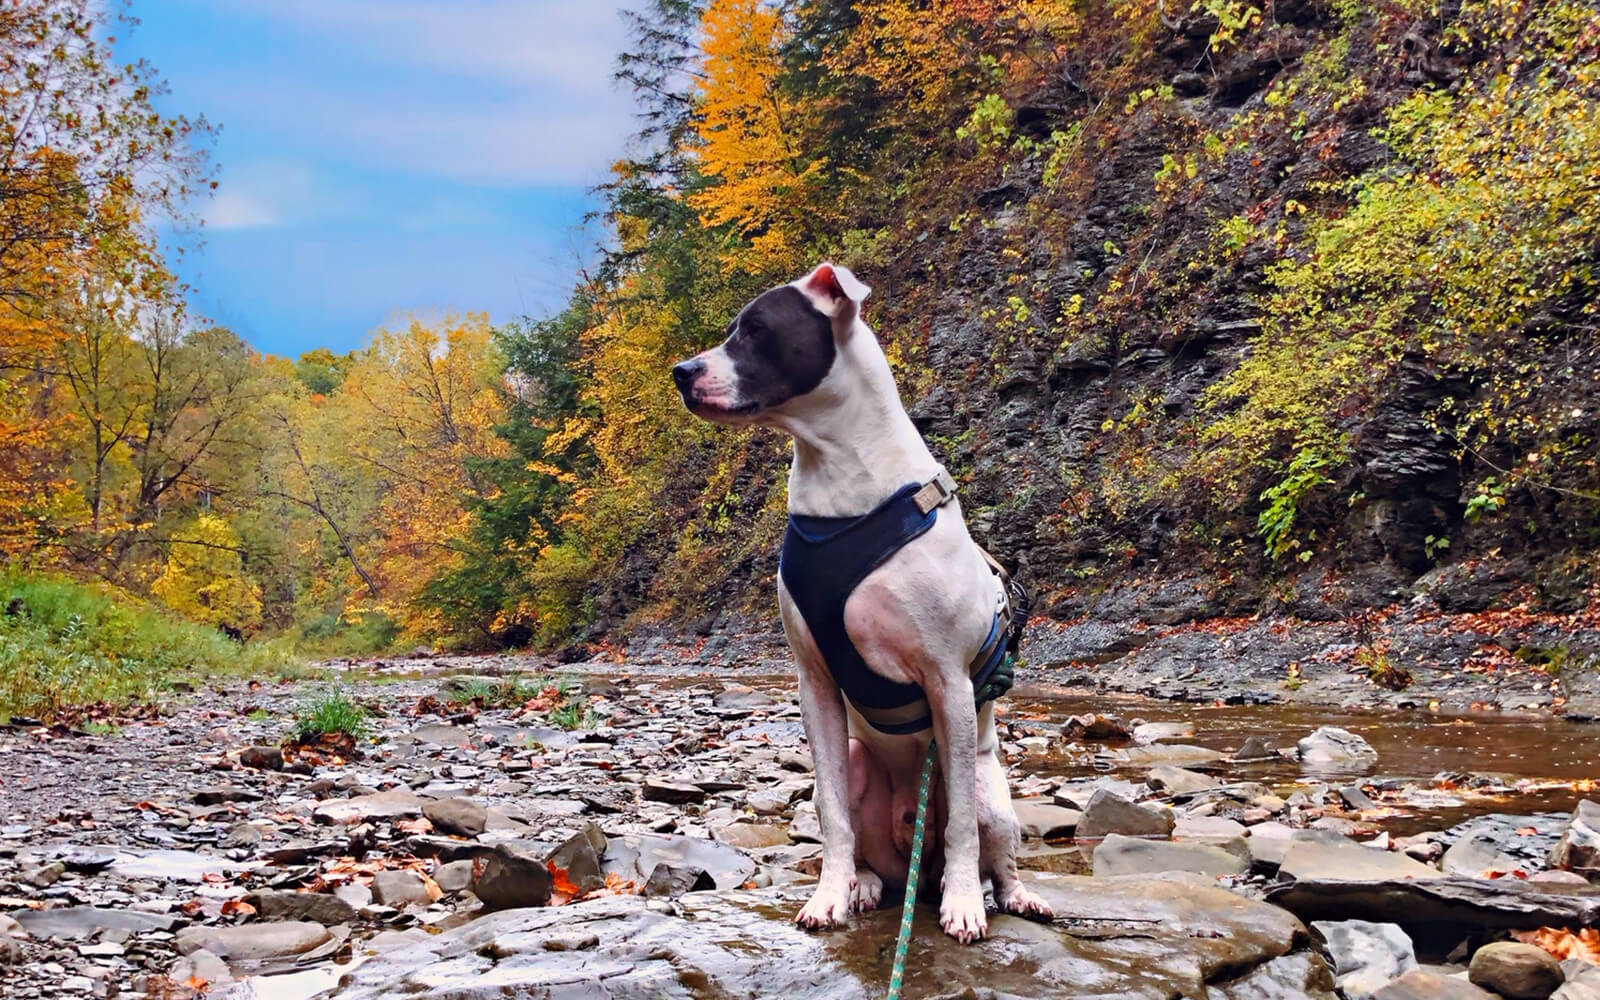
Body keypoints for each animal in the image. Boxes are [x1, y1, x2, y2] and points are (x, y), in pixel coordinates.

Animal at [672, 260, 1056, 940]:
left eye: (757, 330)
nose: (681, 372)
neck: (841, 479)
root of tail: (914, 871)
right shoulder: (815, 685)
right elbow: (833, 821)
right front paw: (829, 896)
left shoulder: (948, 683)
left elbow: (960, 825)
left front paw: (965, 904)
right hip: (856, 764)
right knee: (867, 843)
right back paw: (866, 886)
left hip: (992, 792)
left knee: (991, 844)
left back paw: (1007, 895)